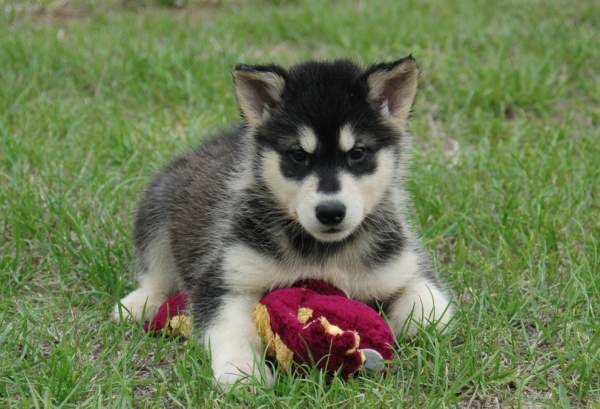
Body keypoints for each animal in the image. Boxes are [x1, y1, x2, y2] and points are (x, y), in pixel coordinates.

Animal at [113, 56, 453, 386]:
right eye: (298, 155)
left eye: (357, 152)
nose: (330, 211)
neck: (322, 252)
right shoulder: (225, 276)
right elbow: (229, 326)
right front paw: (242, 370)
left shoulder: (404, 266)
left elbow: (431, 315)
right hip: (157, 206)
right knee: (155, 273)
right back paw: (137, 304)